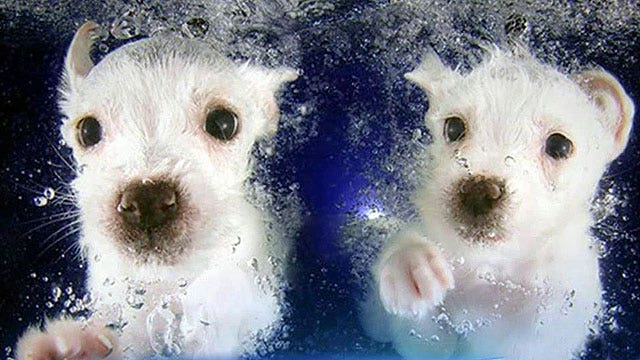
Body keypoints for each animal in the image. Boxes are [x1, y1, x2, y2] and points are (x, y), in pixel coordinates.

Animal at [364, 46, 636, 358]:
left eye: (559, 146)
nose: (479, 192)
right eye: (453, 128)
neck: (492, 271)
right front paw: (411, 264)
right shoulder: (423, 345)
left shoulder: (547, 332)